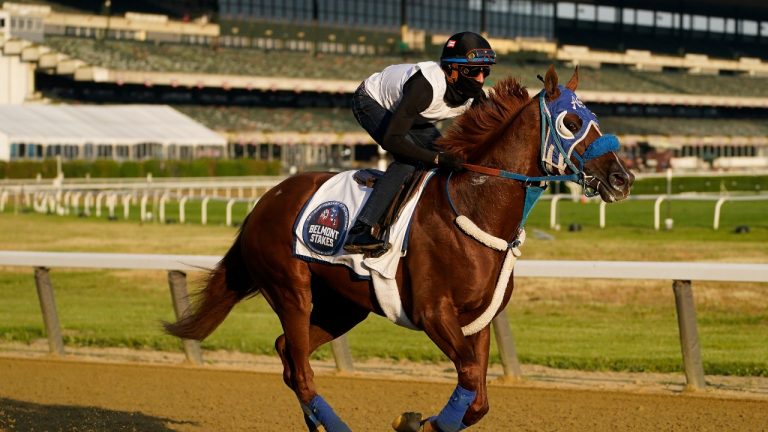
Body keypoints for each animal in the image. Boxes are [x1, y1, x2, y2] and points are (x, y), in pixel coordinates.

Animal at [164, 65, 634, 431]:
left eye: (594, 117)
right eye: (570, 122)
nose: (622, 179)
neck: (473, 206)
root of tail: (266, 200)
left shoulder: (477, 320)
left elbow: (478, 399)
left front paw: (421, 421)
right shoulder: (432, 312)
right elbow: (468, 378)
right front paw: (415, 422)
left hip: (344, 305)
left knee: (286, 353)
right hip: (291, 290)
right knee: (299, 368)